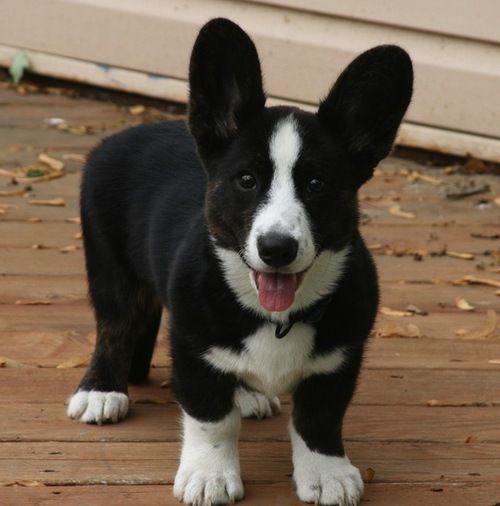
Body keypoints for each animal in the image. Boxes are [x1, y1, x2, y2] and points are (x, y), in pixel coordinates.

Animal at [68, 17, 412, 506]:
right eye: (247, 180)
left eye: (316, 184)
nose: (276, 248)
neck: (275, 317)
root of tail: (121, 137)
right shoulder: (192, 348)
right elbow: (212, 419)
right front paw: (209, 475)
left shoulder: (339, 361)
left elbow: (319, 420)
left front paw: (327, 474)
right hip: (110, 269)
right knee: (114, 326)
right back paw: (101, 391)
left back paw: (248, 394)